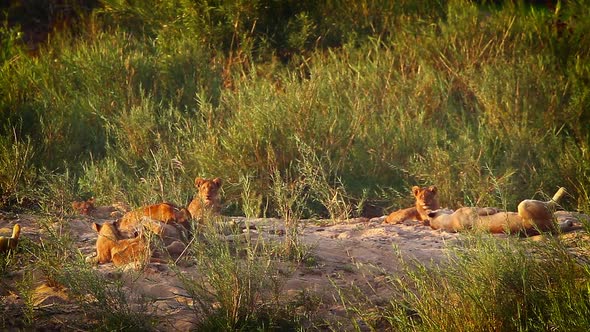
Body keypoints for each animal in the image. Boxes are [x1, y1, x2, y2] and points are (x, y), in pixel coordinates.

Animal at [428, 188, 572, 235]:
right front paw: (496, 209)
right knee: (550, 204)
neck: (448, 221)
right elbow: (487, 209)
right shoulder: (470, 210)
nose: (447, 208)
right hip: (524, 205)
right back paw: (562, 191)